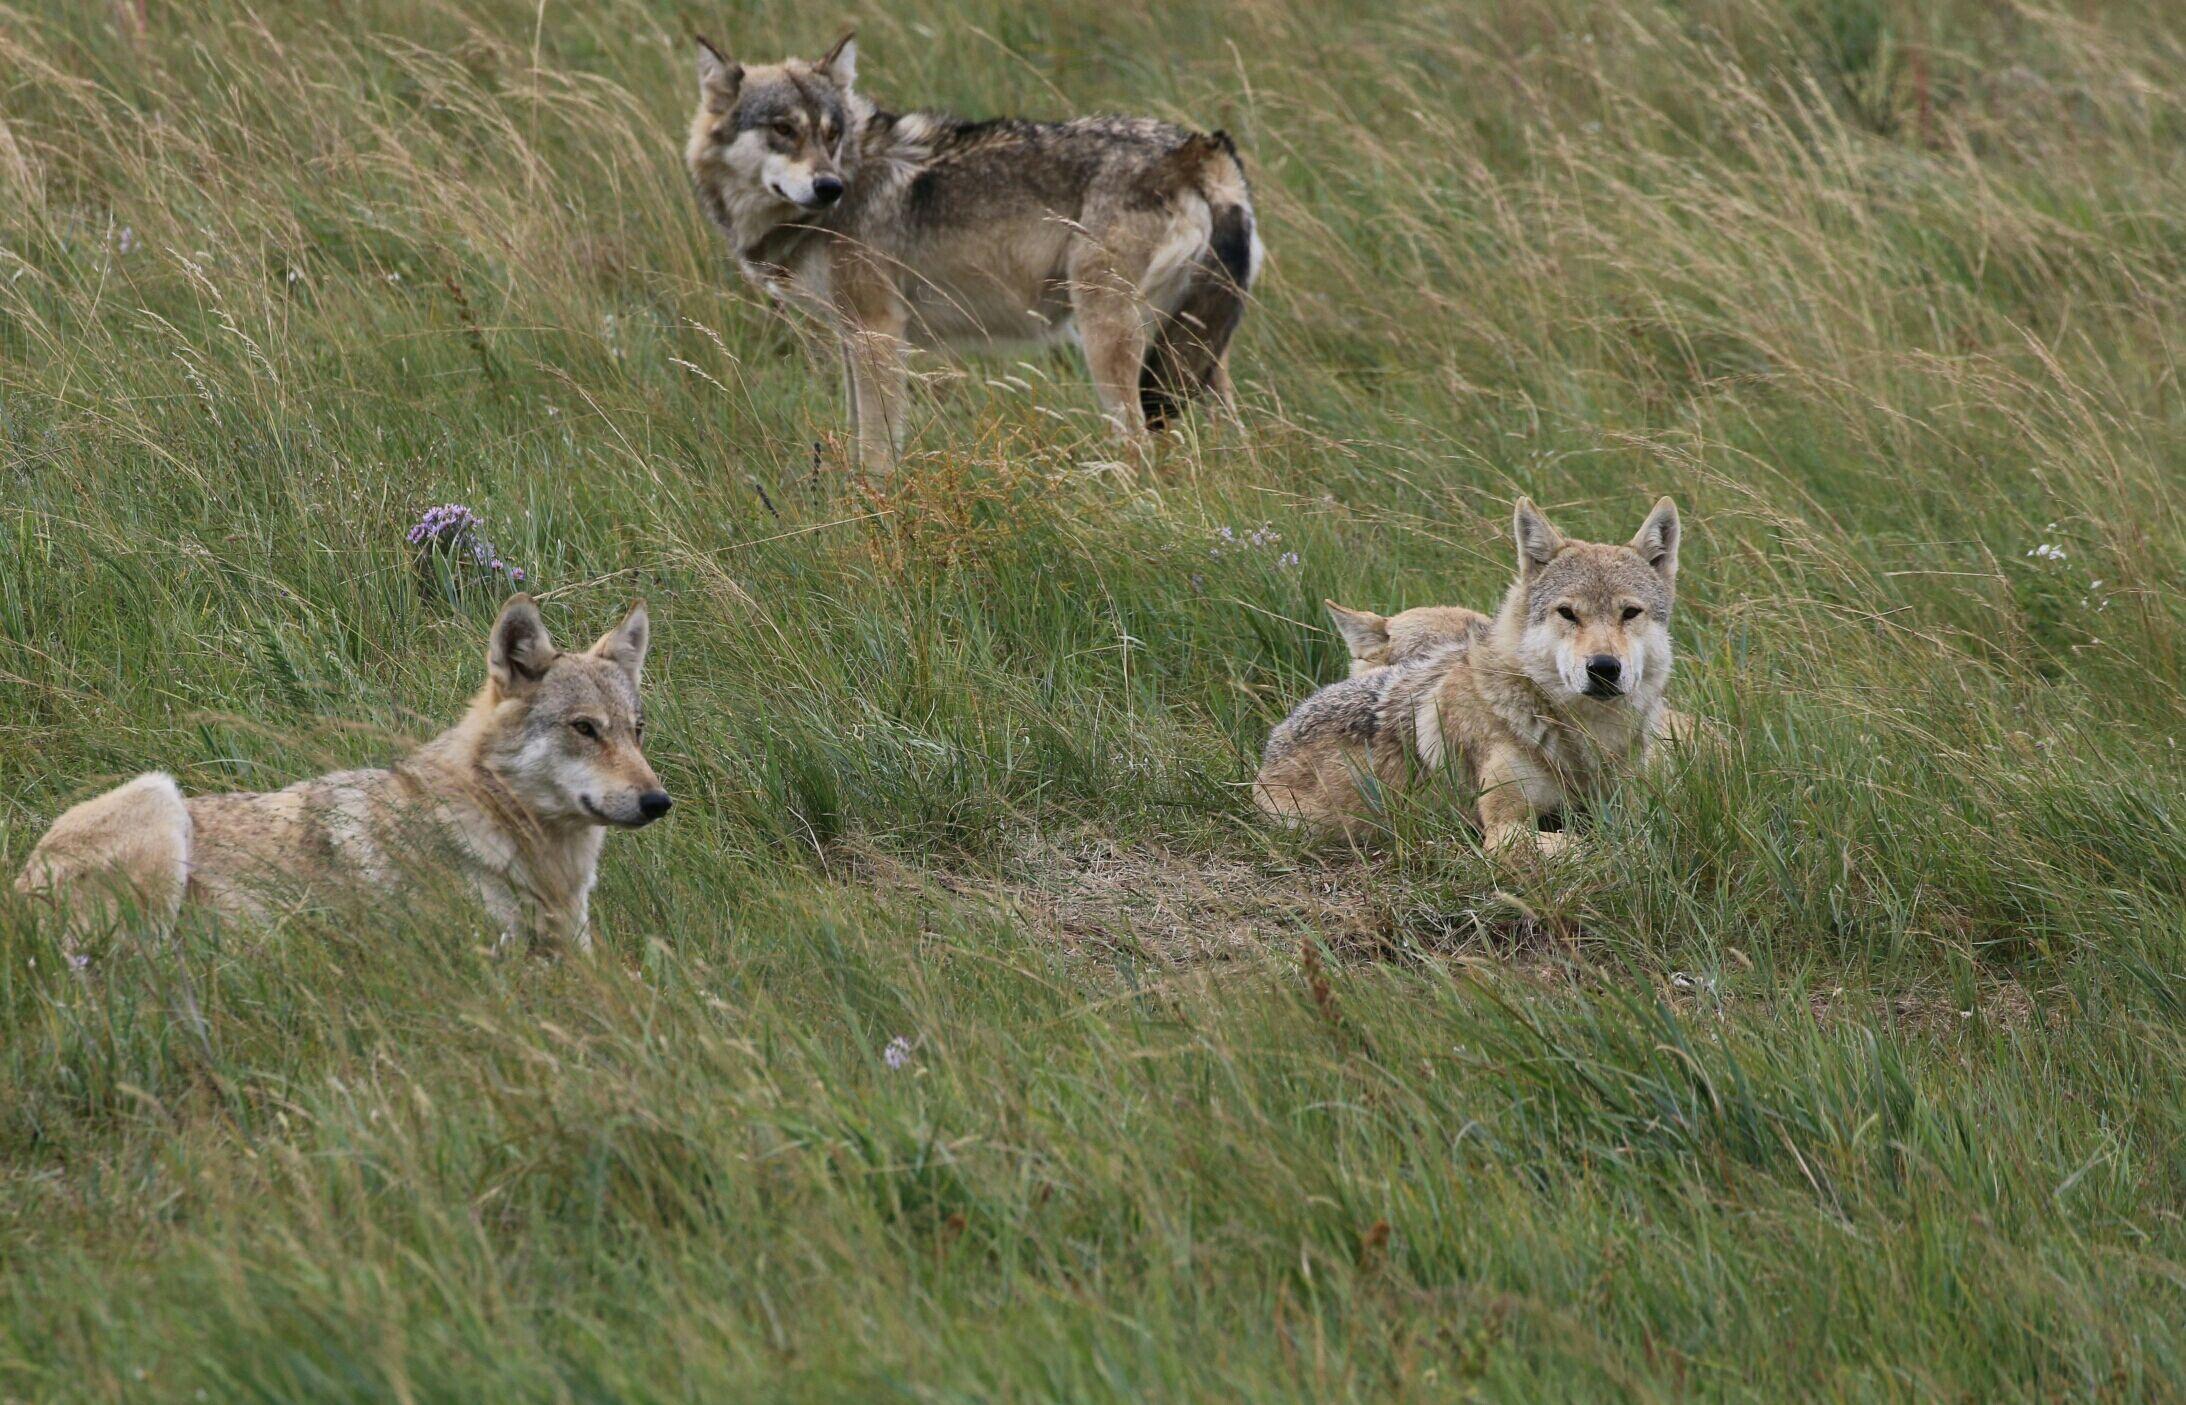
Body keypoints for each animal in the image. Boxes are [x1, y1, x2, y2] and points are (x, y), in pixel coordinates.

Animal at [682, 30, 1267, 471]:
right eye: (783, 129)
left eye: (831, 133)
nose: (829, 187)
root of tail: (1199, 147)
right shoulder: (854, 336)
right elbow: (856, 433)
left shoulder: (877, 332)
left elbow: (876, 450)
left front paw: (872, 512)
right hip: (1192, 350)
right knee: (1232, 436)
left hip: (1108, 336)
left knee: (1138, 445)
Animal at [1259, 502, 1696, 856]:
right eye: (1568, 613)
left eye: (1630, 613)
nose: (1604, 667)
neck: (1585, 740)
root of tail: (1272, 745)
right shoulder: (1504, 828)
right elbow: (1592, 845)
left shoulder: (1634, 802)